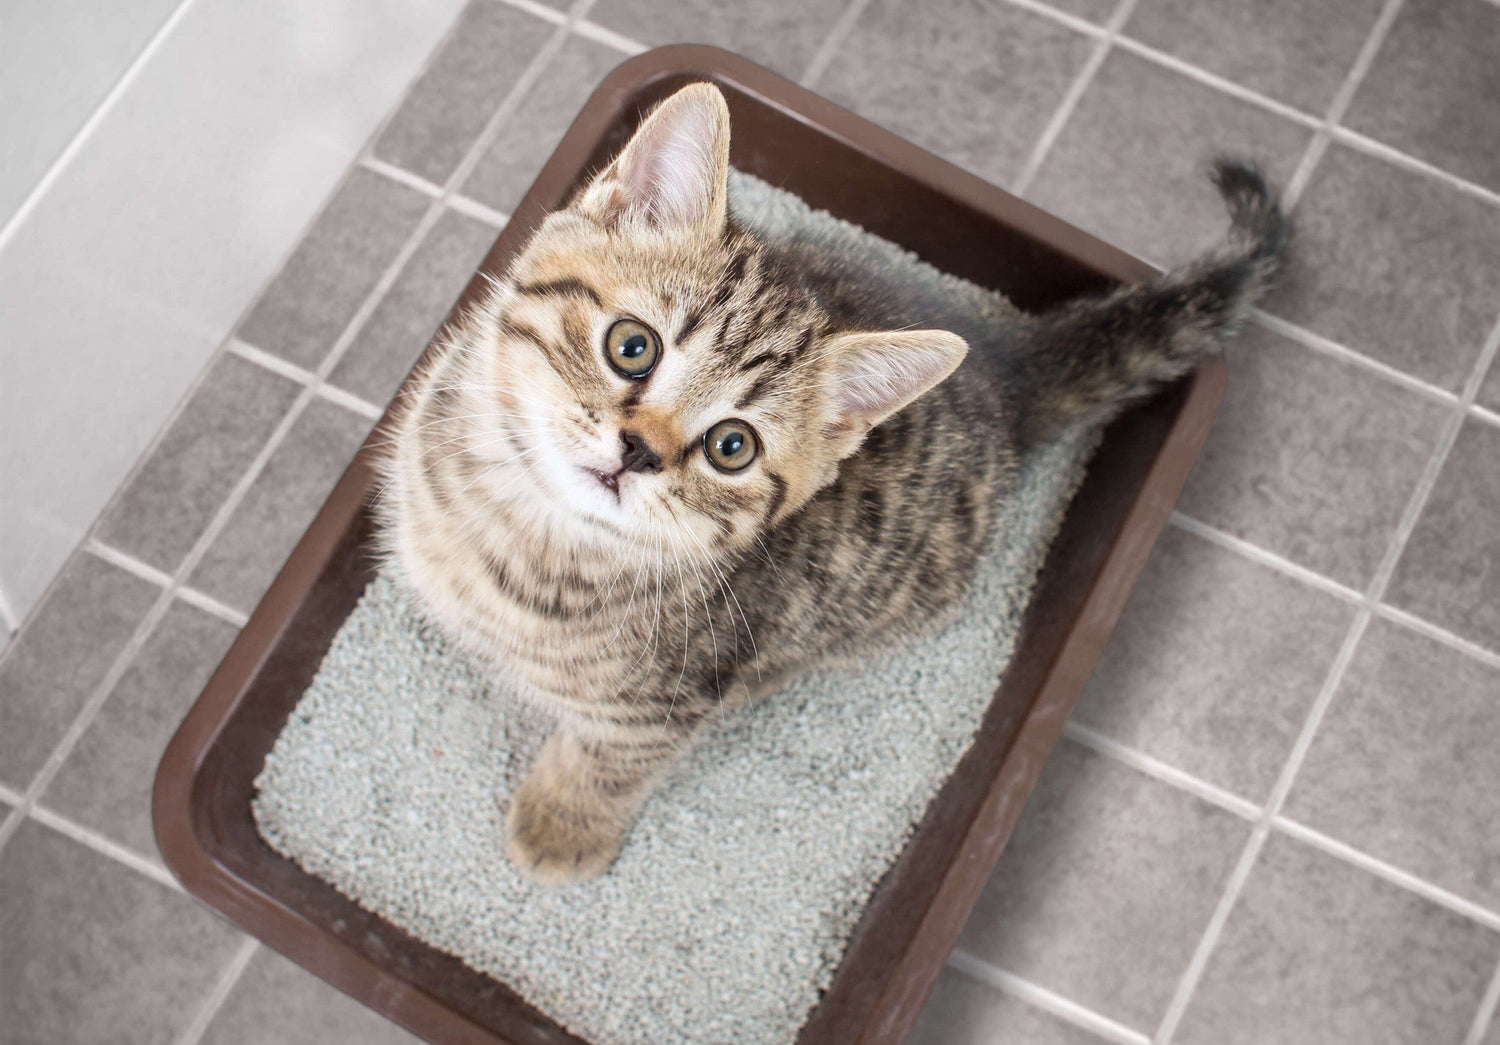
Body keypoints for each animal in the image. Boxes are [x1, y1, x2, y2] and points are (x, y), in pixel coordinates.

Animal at [384, 81, 1290, 881]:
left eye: (732, 447)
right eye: (631, 345)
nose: (639, 450)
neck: (517, 523)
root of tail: (1004, 369)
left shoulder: (673, 694)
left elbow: (611, 756)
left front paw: (564, 825)